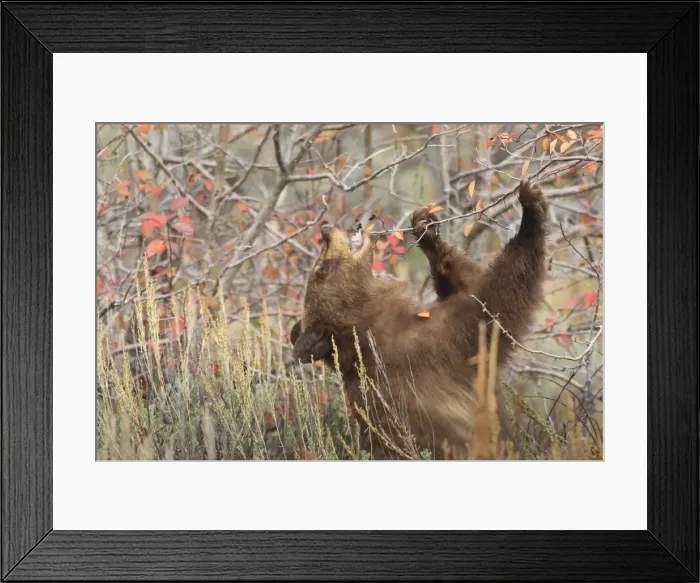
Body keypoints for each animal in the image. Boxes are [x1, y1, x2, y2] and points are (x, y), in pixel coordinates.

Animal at [290, 180, 548, 459]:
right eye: (321, 269)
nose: (325, 230)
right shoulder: (431, 346)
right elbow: (494, 306)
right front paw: (530, 208)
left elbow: (465, 282)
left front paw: (426, 229)